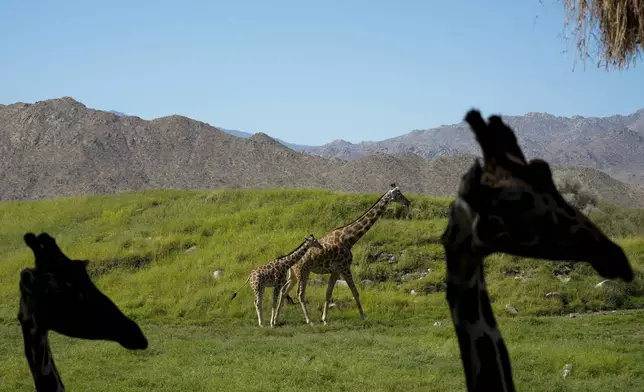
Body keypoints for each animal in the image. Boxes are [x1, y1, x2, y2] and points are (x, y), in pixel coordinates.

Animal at [284, 184, 410, 324]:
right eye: (398, 193)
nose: (408, 202)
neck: (349, 239)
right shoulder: (345, 267)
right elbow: (355, 291)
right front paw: (363, 316)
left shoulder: (335, 270)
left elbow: (328, 293)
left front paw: (324, 319)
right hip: (302, 272)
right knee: (299, 294)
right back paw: (308, 320)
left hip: (295, 275)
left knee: (284, 290)